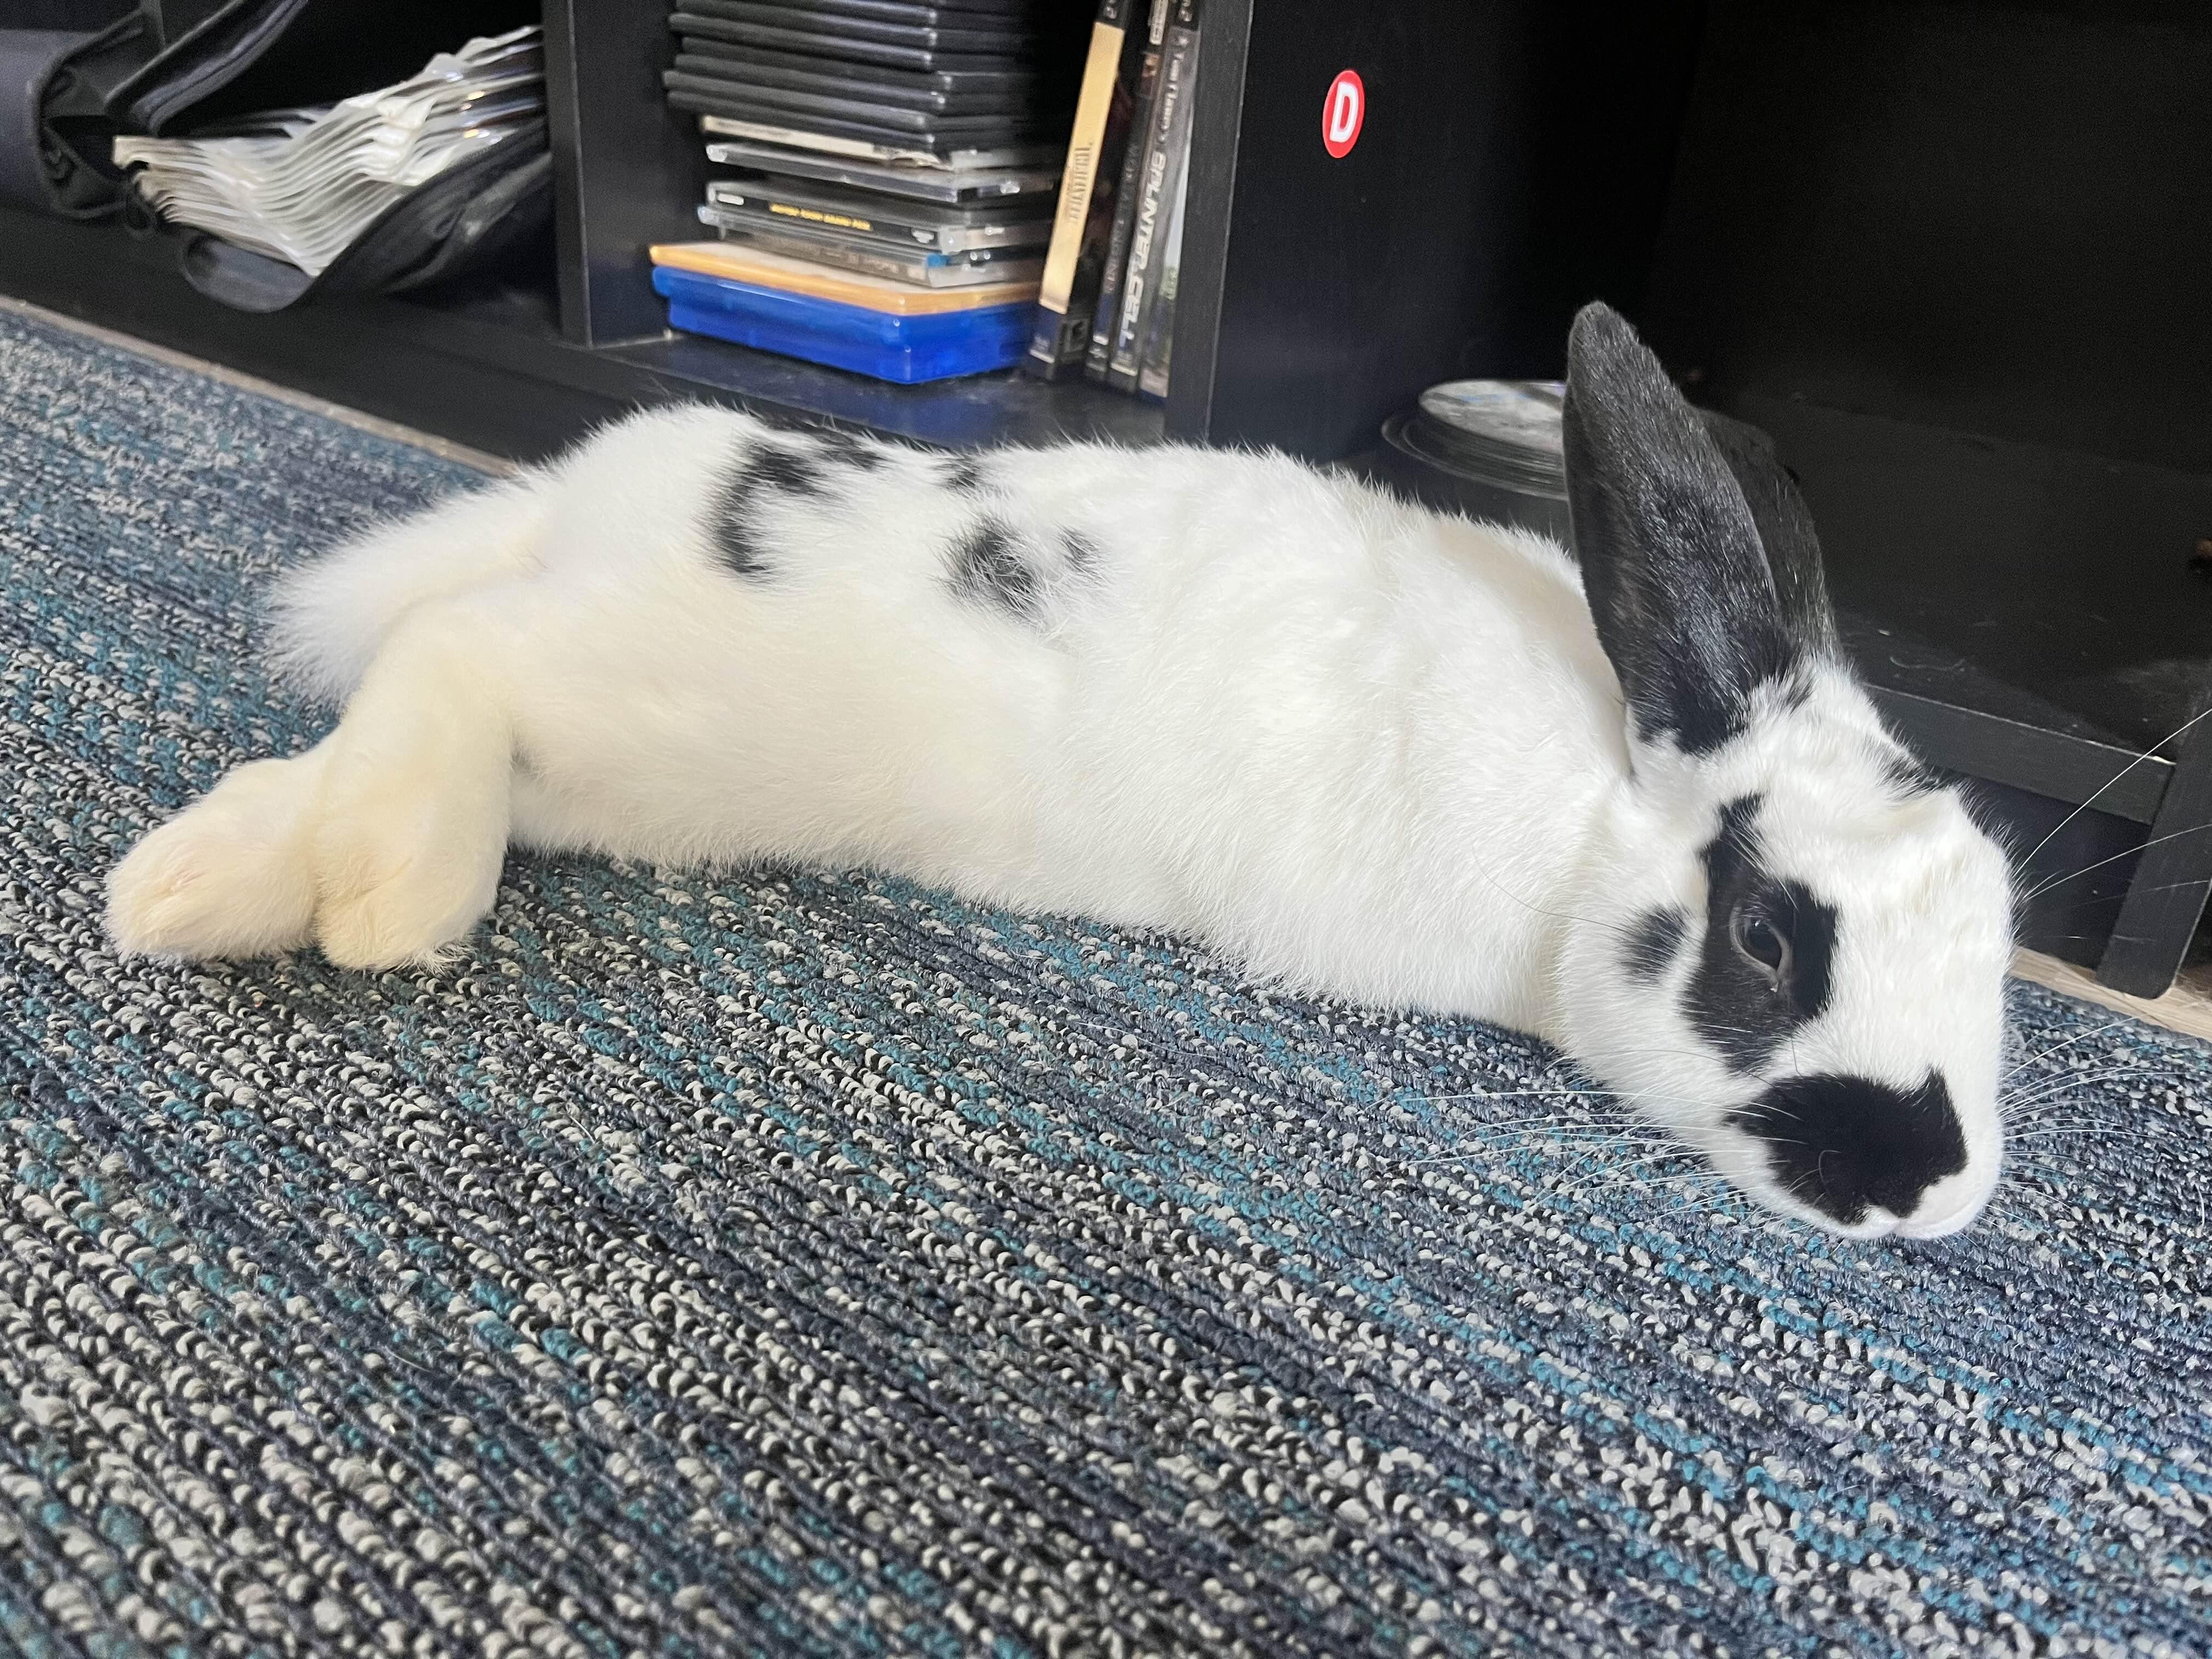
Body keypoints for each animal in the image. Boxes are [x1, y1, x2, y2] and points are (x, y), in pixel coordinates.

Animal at [105, 302, 2016, 1240]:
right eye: (1766, 939)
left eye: (2002, 933)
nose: (1937, 1187)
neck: (1598, 793)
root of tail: (590, 499)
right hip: (656, 712)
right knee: (456, 658)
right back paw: (384, 900)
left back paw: (191, 886)